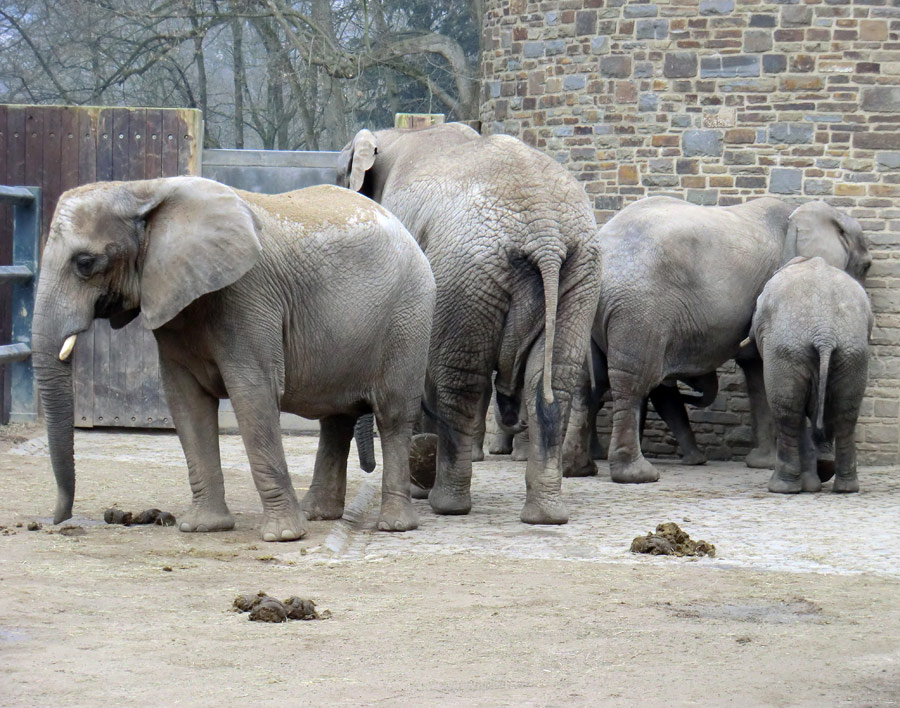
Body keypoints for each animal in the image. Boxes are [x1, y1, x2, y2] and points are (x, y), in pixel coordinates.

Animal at [31, 178, 432, 544]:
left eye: (85, 263)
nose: (59, 519)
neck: (144, 188)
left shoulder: (247, 296)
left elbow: (253, 393)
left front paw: (284, 536)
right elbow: (186, 403)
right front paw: (201, 527)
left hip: (408, 319)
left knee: (393, 415)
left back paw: (394, 525)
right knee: (335, 420)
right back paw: (318, 513)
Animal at [338, 121, 604, 524]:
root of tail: (544, 234)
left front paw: (419, 486)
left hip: (467, 272)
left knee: (461, 381)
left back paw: (447, 504)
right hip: (577, 273)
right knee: (554, 379)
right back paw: (546, 515)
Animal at [744, 258, 872, 496]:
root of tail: (825, 335)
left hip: (787, 351)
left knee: (788, 413)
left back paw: (781, 488)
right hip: (852, 354)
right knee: (845, 413)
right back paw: (845, 487)